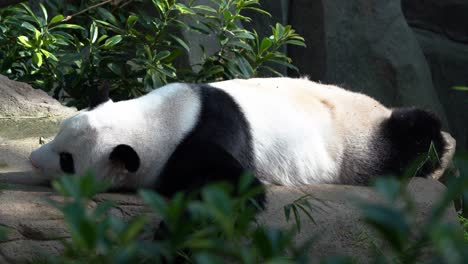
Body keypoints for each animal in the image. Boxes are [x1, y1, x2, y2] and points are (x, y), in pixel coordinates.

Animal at [28, 78, 450, 200]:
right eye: (57, 134)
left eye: (67, 160)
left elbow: (230, 187)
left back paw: (441, 149)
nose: (33, 161)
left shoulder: (201, 139)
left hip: (360, 141)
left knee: (411, 138)